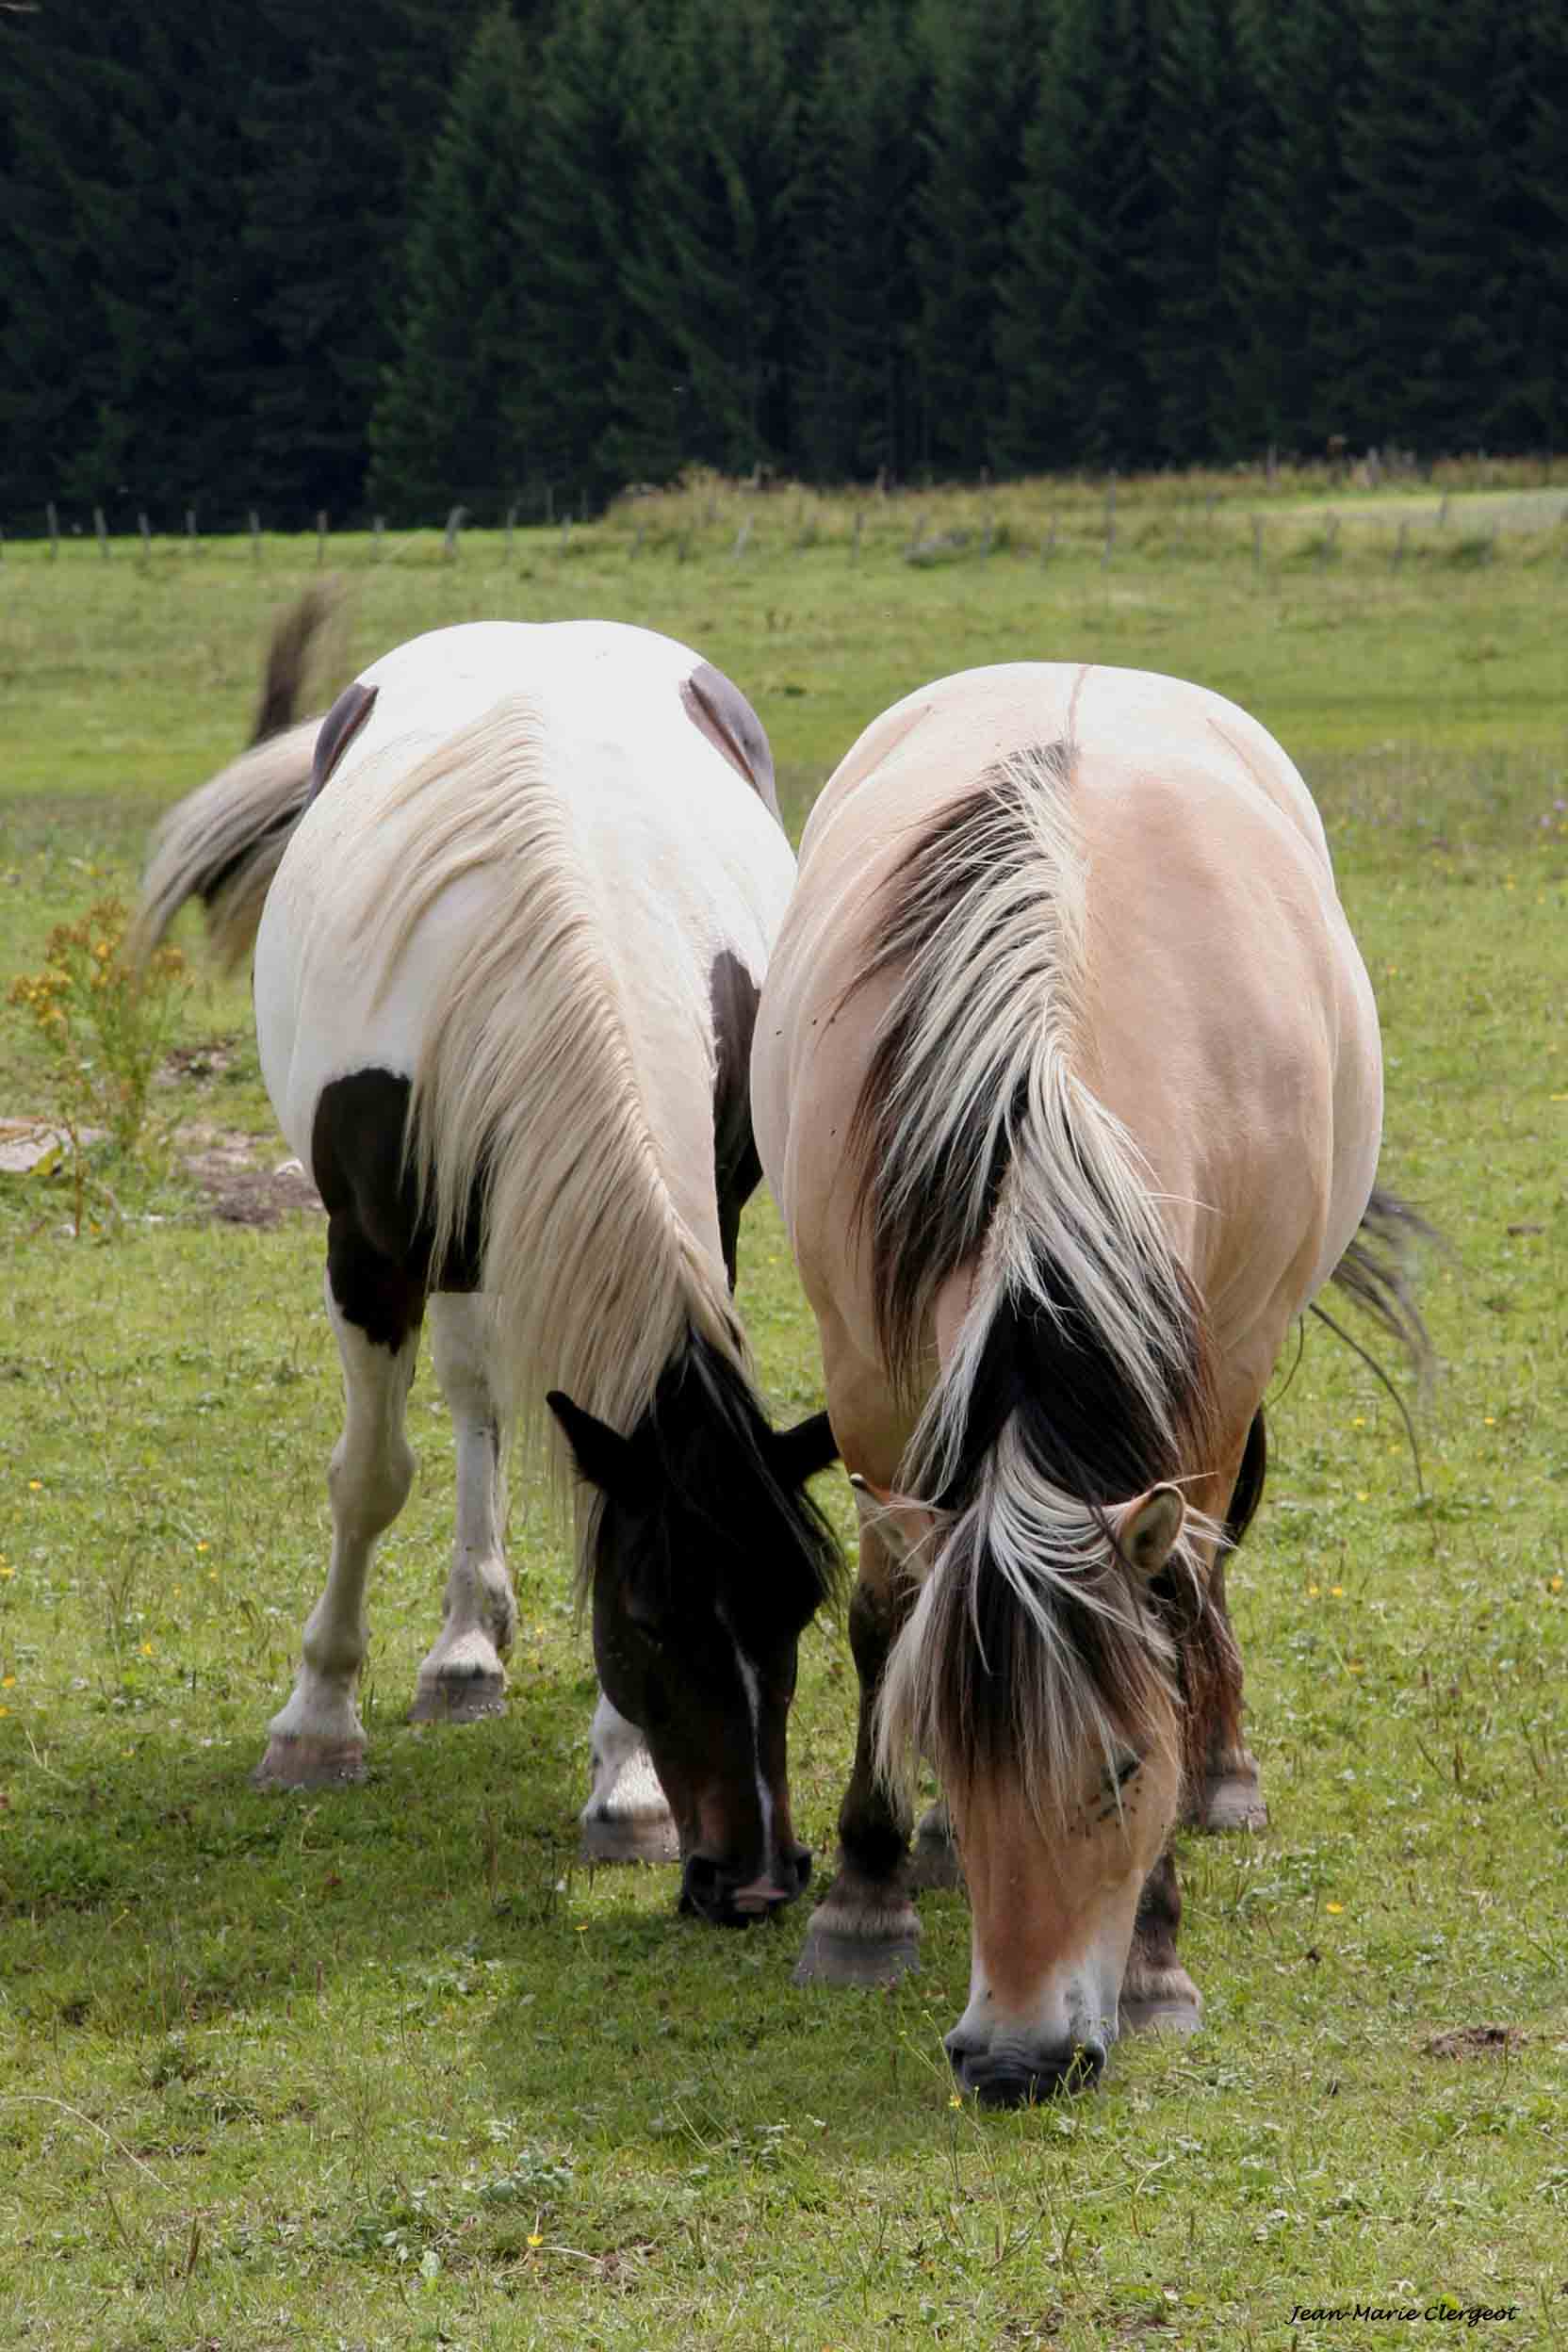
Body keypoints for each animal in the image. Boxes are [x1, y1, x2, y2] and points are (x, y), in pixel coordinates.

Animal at [139, 615, 841, 1919]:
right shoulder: (365, 1248)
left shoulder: (708, 1215)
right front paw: (316, 1723)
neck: (549, 953)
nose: (758, 1881)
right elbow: (368, 1478)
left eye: (799, 1607)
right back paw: (460, 1654)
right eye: (648, 1617)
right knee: (468, 1398)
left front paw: (626, 1789)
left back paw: (472, 1643)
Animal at [752, 658, 1429, 2098]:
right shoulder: (865, 1366)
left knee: (1210, 1584)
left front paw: (1160, 1956)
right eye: (953, 1756)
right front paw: (864, 1897)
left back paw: (1225, 1771)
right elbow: (887, 1615)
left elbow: (1171, 1614)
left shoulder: (1220, 1364)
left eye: (1123, 1773)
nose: (1014, 2062)